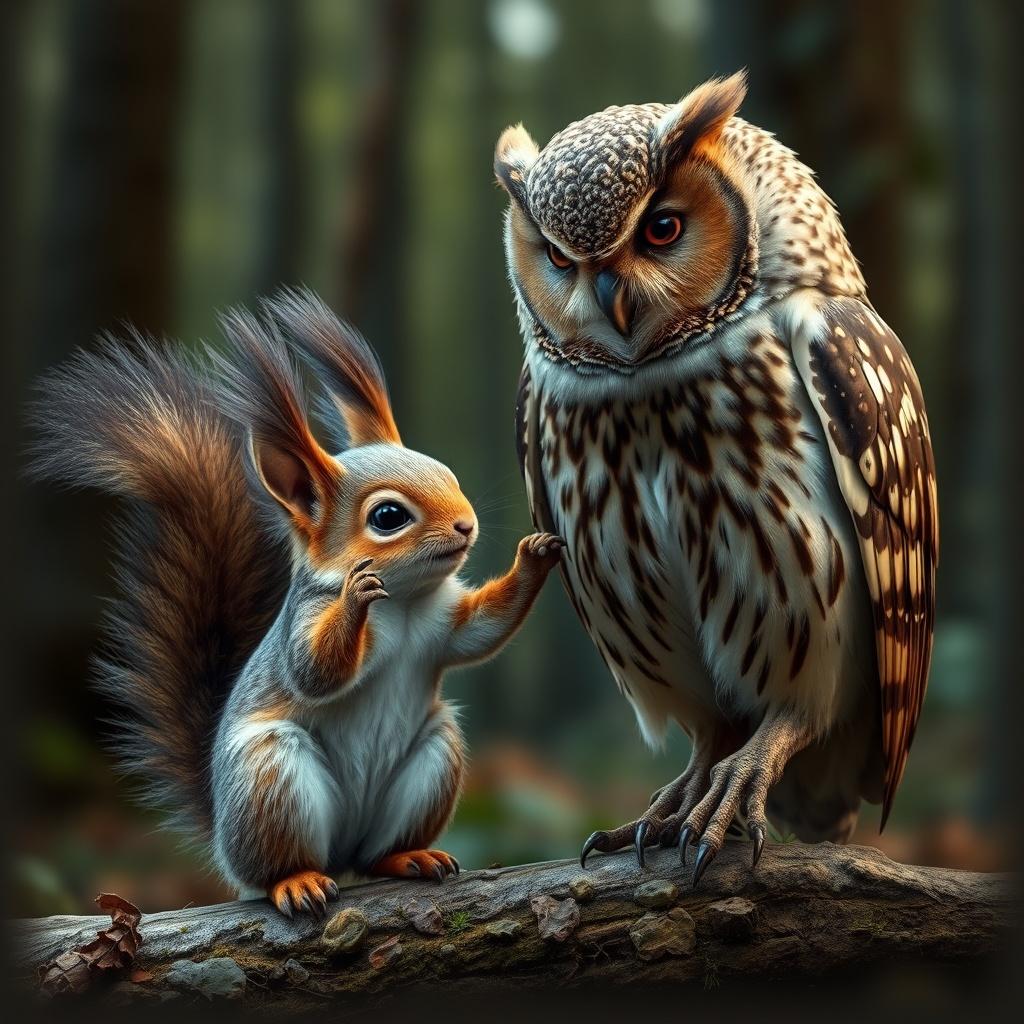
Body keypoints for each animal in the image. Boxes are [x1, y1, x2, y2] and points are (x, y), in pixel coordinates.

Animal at [31, 288, 563, 917]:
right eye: (389, 516)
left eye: (448, 474)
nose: (466, 524)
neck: (406, 605)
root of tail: (224, 837)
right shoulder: (304, 621)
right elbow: (313, 671)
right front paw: (356, 595)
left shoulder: (443, 625)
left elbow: (482, 629)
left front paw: (536, 554)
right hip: (270, 779)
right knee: (277, 867)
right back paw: (296, 880)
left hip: (436, 756)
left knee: (374, 854)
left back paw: (409, 856)